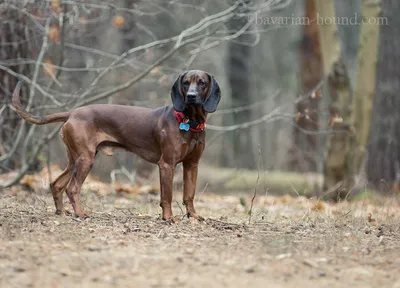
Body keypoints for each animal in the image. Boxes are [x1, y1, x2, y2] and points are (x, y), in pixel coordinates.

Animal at [11, 71, 222, 222]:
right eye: (185, 82)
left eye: (202, 82)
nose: (191, 96)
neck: (189, 122)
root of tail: (73, 113)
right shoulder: (166, 165)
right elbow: (167, 196)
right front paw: (168, 218)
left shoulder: (191, 165)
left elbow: (189, 194)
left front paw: (193, 216)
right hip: (85, 159)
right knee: (72, 188)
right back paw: (80, 214)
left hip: (75, 159)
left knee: (57, 184)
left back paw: (61, 212)